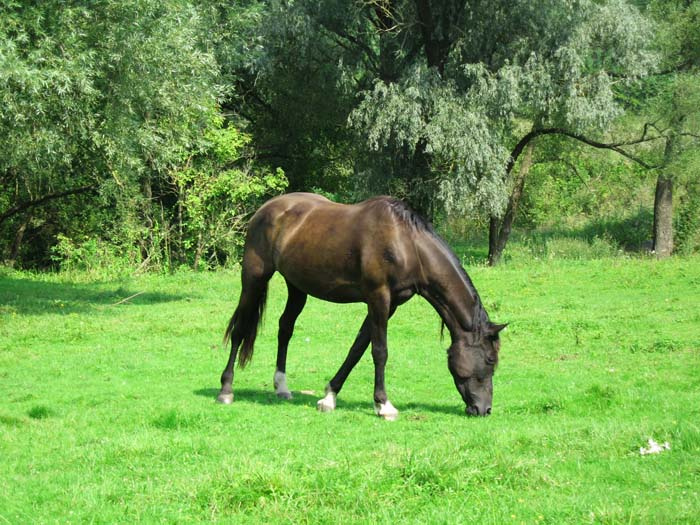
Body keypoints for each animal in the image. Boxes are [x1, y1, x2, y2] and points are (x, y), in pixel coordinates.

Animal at [216, 192, 505, 419]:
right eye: (490, 359)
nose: (485, 409)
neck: (406, 243)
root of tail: (265, 209)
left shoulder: (389, 304)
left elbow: (357, 348)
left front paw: (329, 396)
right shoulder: (378, 298)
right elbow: (379, 351)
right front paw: (384, 405)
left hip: (297, 287)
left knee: (285, 329)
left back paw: (282, 387)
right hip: (254, 278)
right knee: (240, 329)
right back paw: (226, 390)